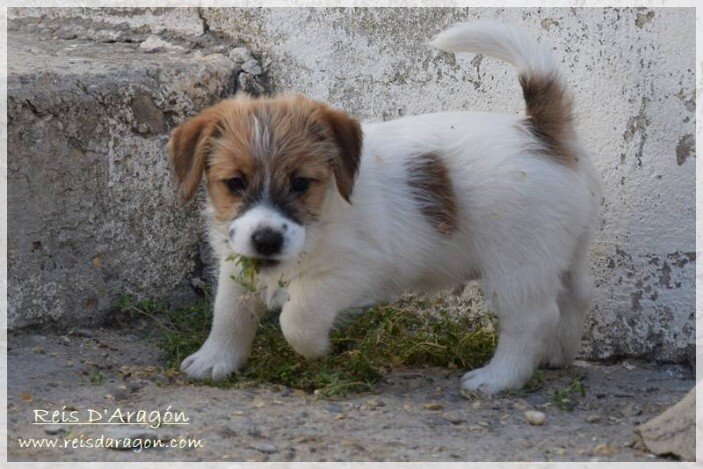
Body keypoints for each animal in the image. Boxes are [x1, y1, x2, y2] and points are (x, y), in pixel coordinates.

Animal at [166, 22, 600, 394]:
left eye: (301, 183)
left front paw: (317, 349)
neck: (324, 214)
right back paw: (556, 355)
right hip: (564, 250)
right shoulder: (237, 264)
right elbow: (229, 313)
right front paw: (215, 359)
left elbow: (297, 317)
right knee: (575, 297)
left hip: (517, 266)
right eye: (235, 183)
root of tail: (540, 134)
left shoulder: (353, 271)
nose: (267, 240)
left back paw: (498, 378)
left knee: (531, 319)